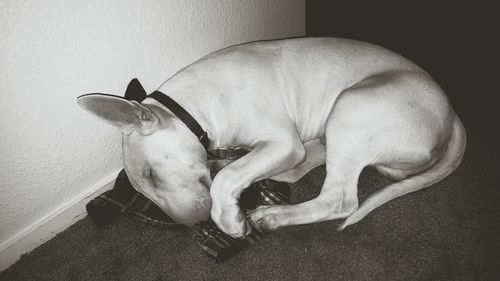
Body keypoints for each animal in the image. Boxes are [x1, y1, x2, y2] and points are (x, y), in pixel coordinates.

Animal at [78, 37, 464, 236]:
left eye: (153, 175)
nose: (193, 224)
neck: (196, 105)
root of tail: (452, 113)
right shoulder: (276, 146)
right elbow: (234, 170)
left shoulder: (281, 141)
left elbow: (227, 179)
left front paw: (229, 220)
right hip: (332, 128)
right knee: (306, 163)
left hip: (353, 106)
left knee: (338, 198)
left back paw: (274, 215)